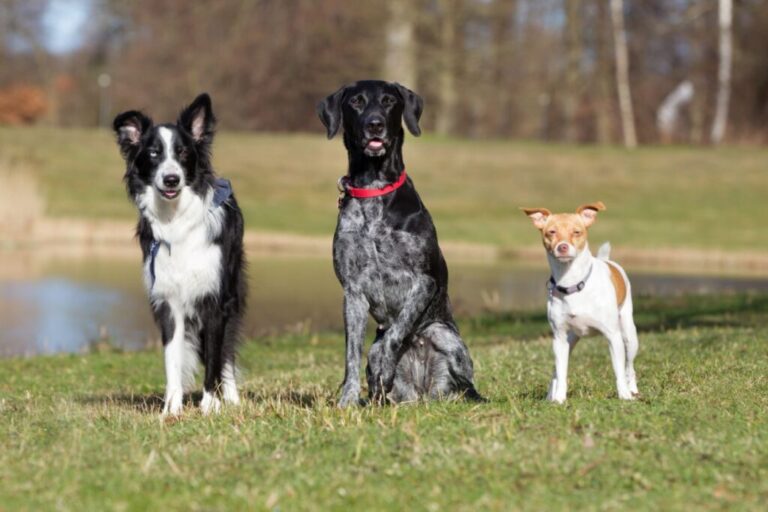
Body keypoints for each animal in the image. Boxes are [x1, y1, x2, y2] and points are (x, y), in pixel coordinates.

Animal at [316, 80, 480, 406]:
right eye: (356, 101)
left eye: (389, 101)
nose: (375, 124)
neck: (374, 189)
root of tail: (423, 393)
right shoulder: (352, 291)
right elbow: (352, 355)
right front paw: (348, 400)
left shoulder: (423, 282)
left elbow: (395, 334)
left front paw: (385, 365)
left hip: (445, 336)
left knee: (465, 382)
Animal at [520, 202, 636, 402]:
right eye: (551, 232)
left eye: (576, 232)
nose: (562, 247)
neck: (573, 283)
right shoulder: (559, 338)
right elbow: (561, 371)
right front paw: (559, 399)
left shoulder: (613, 336)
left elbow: (619, 370)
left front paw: (624, 396)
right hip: (570, 339)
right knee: (556, 371)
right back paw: (550, 395)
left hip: (629, 333)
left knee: (630, 366)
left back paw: (633, 389)